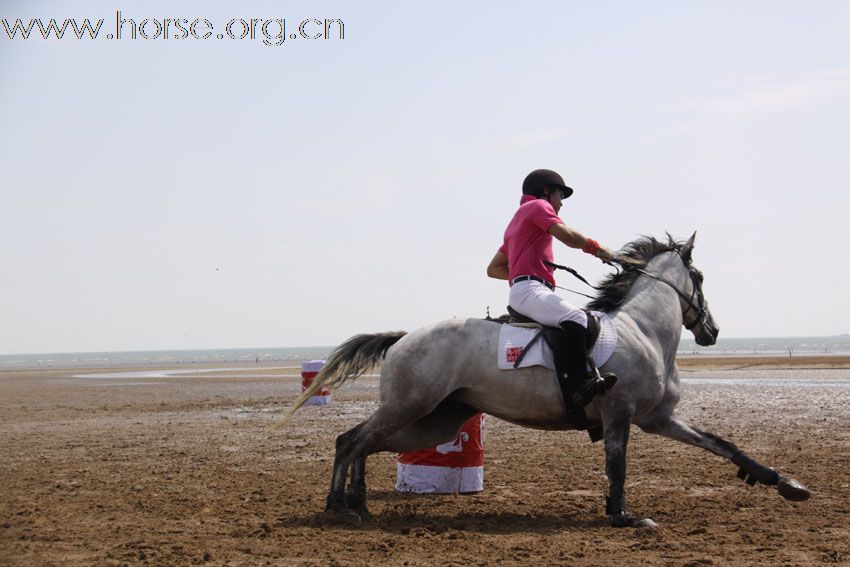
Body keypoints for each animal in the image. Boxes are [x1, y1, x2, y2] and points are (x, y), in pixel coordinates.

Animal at [284, 234, 808, 528]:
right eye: (699, 276)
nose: (712, 331)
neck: (644, 328)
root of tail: (403, 337)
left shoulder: (659, 418)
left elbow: (724, 445)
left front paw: (785, 483)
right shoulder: (619, 415)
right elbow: (617, 467)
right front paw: (622, 517)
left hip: (435, 420)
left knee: (364, 443)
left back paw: (357, 500)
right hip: (412, 408)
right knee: (350, 440)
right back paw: (340, 506)